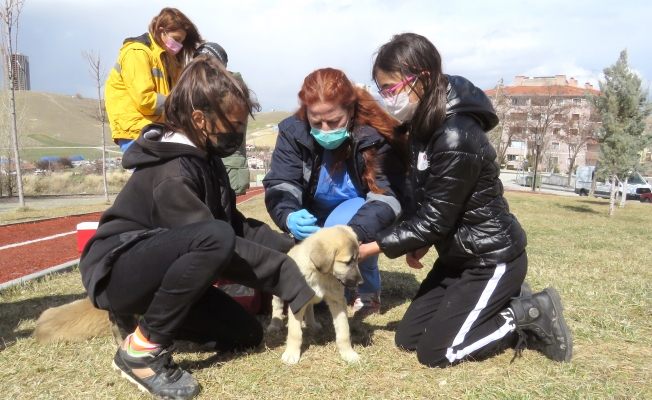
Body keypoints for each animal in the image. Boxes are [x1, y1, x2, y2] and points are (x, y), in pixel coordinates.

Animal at [268, 227, 364, 364]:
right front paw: (291, 354)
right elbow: (294, 332)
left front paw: (348, 354)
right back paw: (275, 324)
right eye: (347, 262)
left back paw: (311, 323)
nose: (361, 282)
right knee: (277, 306)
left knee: (309, 308)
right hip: (279, 295)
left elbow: (344, 331)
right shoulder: (297, 300)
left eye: (357, 260)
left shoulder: (337, 301)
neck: (320, 274)